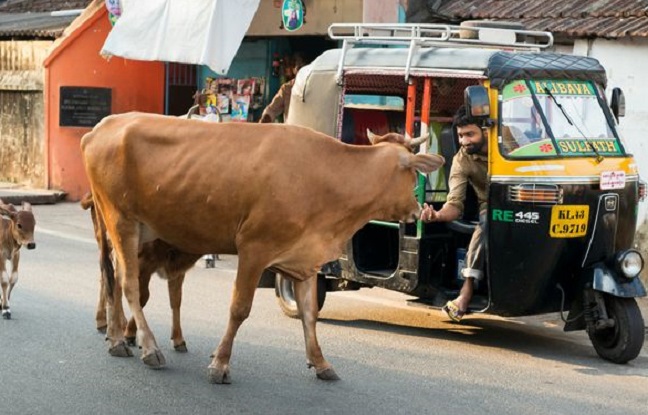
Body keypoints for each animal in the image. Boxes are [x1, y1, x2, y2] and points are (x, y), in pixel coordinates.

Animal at [80, 193, 200, 351]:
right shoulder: (143, 264)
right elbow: (142, 296)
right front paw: (130, 334)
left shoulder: (176, 270)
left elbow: (176, 300)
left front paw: (178, 339)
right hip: (106, 243)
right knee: (109, 280)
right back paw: (105, 322)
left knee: (111, 281)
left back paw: (114, 323)